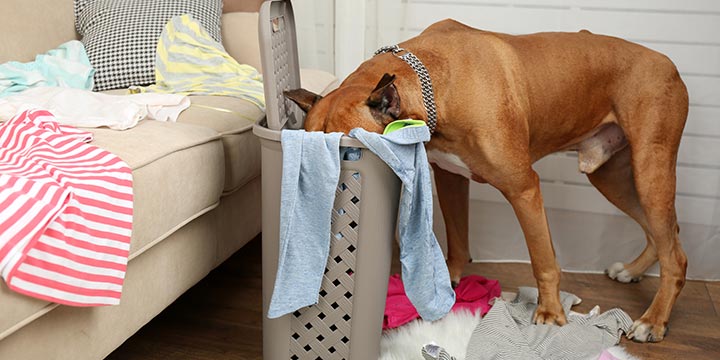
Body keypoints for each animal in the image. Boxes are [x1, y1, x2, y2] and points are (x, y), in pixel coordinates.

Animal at [284, 19, 688, 344]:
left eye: (351, 155)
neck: (436, 80)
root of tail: (668, 63)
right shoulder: (450, 178)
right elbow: (458, 239)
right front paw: (450, 282)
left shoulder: (523, 188)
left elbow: (543, 259)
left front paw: (550, 315)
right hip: (614, 179)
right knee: (665, 233)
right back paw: (633, 271)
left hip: (649, 171)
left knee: (676, 254)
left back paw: (653, 321)